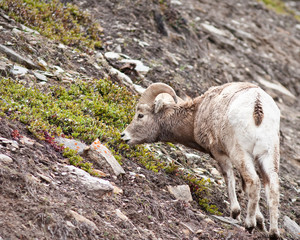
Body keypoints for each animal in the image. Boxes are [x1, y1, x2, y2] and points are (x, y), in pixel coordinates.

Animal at [120, 82, 280, 238]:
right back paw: (273, 233)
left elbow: (229, 177)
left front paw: (235, 213)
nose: (123, 136)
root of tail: (257, 106)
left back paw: (249, 225)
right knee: (272, 188)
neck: (196, 115)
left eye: (140, 115)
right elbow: (244, 187)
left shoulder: (219, 153)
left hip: (240, 152)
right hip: (268, 156)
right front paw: (260, 221)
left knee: (254, 182)